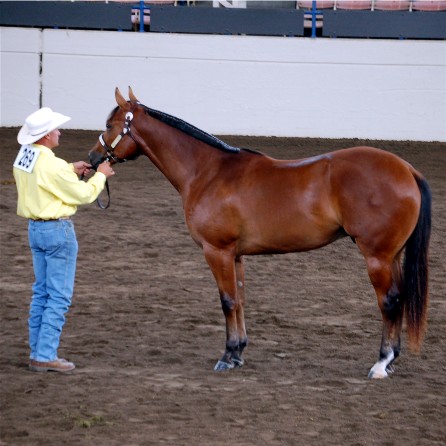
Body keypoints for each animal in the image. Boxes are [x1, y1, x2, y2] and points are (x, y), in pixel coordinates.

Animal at [89, 87, 431, 379]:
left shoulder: (217, 251)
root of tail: (406, 169)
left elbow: (227, 301)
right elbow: (240, 299)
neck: (207, 172)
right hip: (392, 256)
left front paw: (227, 356)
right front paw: (238, 352)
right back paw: (392, 359)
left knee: (389, 301)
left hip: (377, 257)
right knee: (399, 298)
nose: (93, 158)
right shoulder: (235, 255)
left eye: (109, 124)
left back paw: (381, 363)